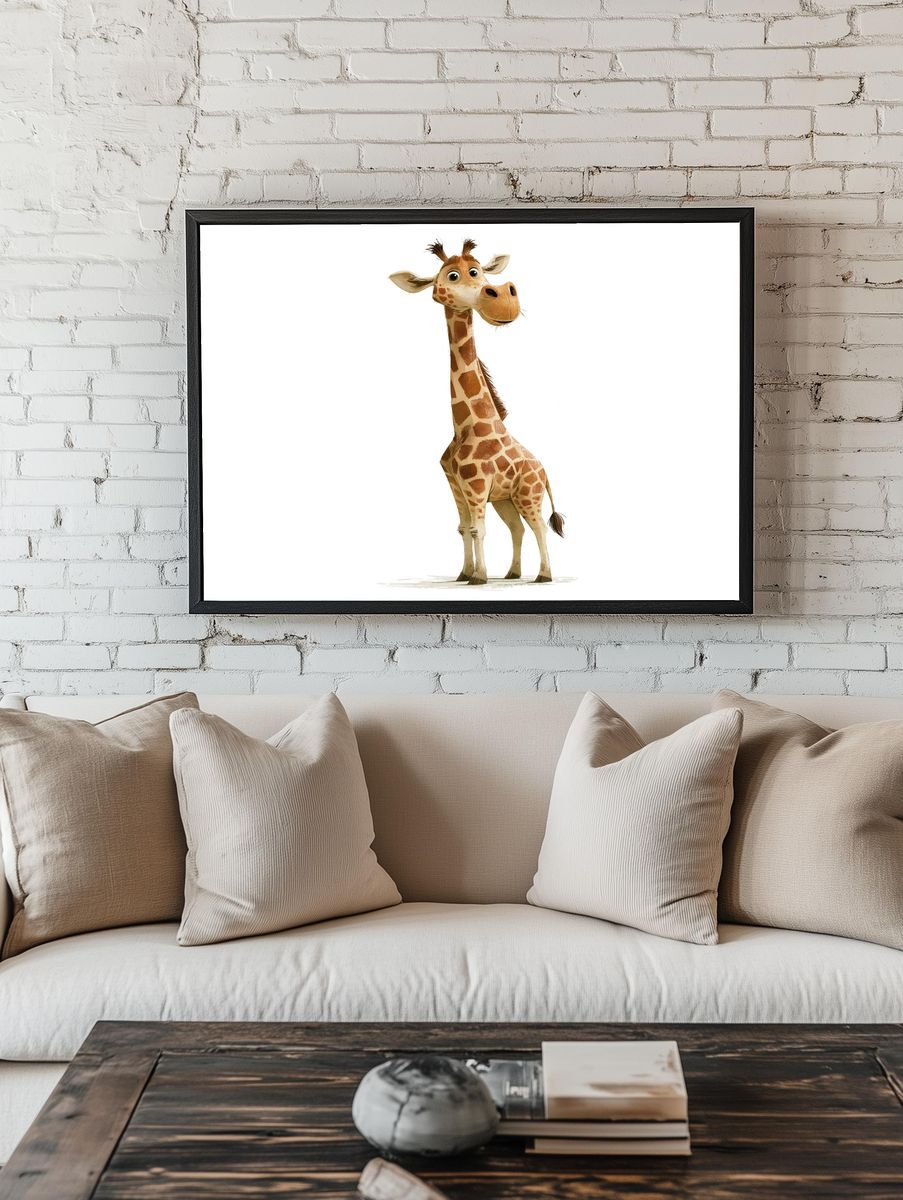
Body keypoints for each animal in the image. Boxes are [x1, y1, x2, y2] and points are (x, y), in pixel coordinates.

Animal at [390, 238, 565, 585]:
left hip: (528, 494)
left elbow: (478, 530)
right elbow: (464, 528)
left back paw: (543, 576)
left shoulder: (477, 484)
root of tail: (545, 471)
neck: (465, 425)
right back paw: (512, 573)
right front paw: (464, 573)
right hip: (505, 500)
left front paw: (479, 577)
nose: (503, 297)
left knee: (539, 526)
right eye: (453, 275)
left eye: (478, 271)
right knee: (517, 528)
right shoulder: (457, 484)